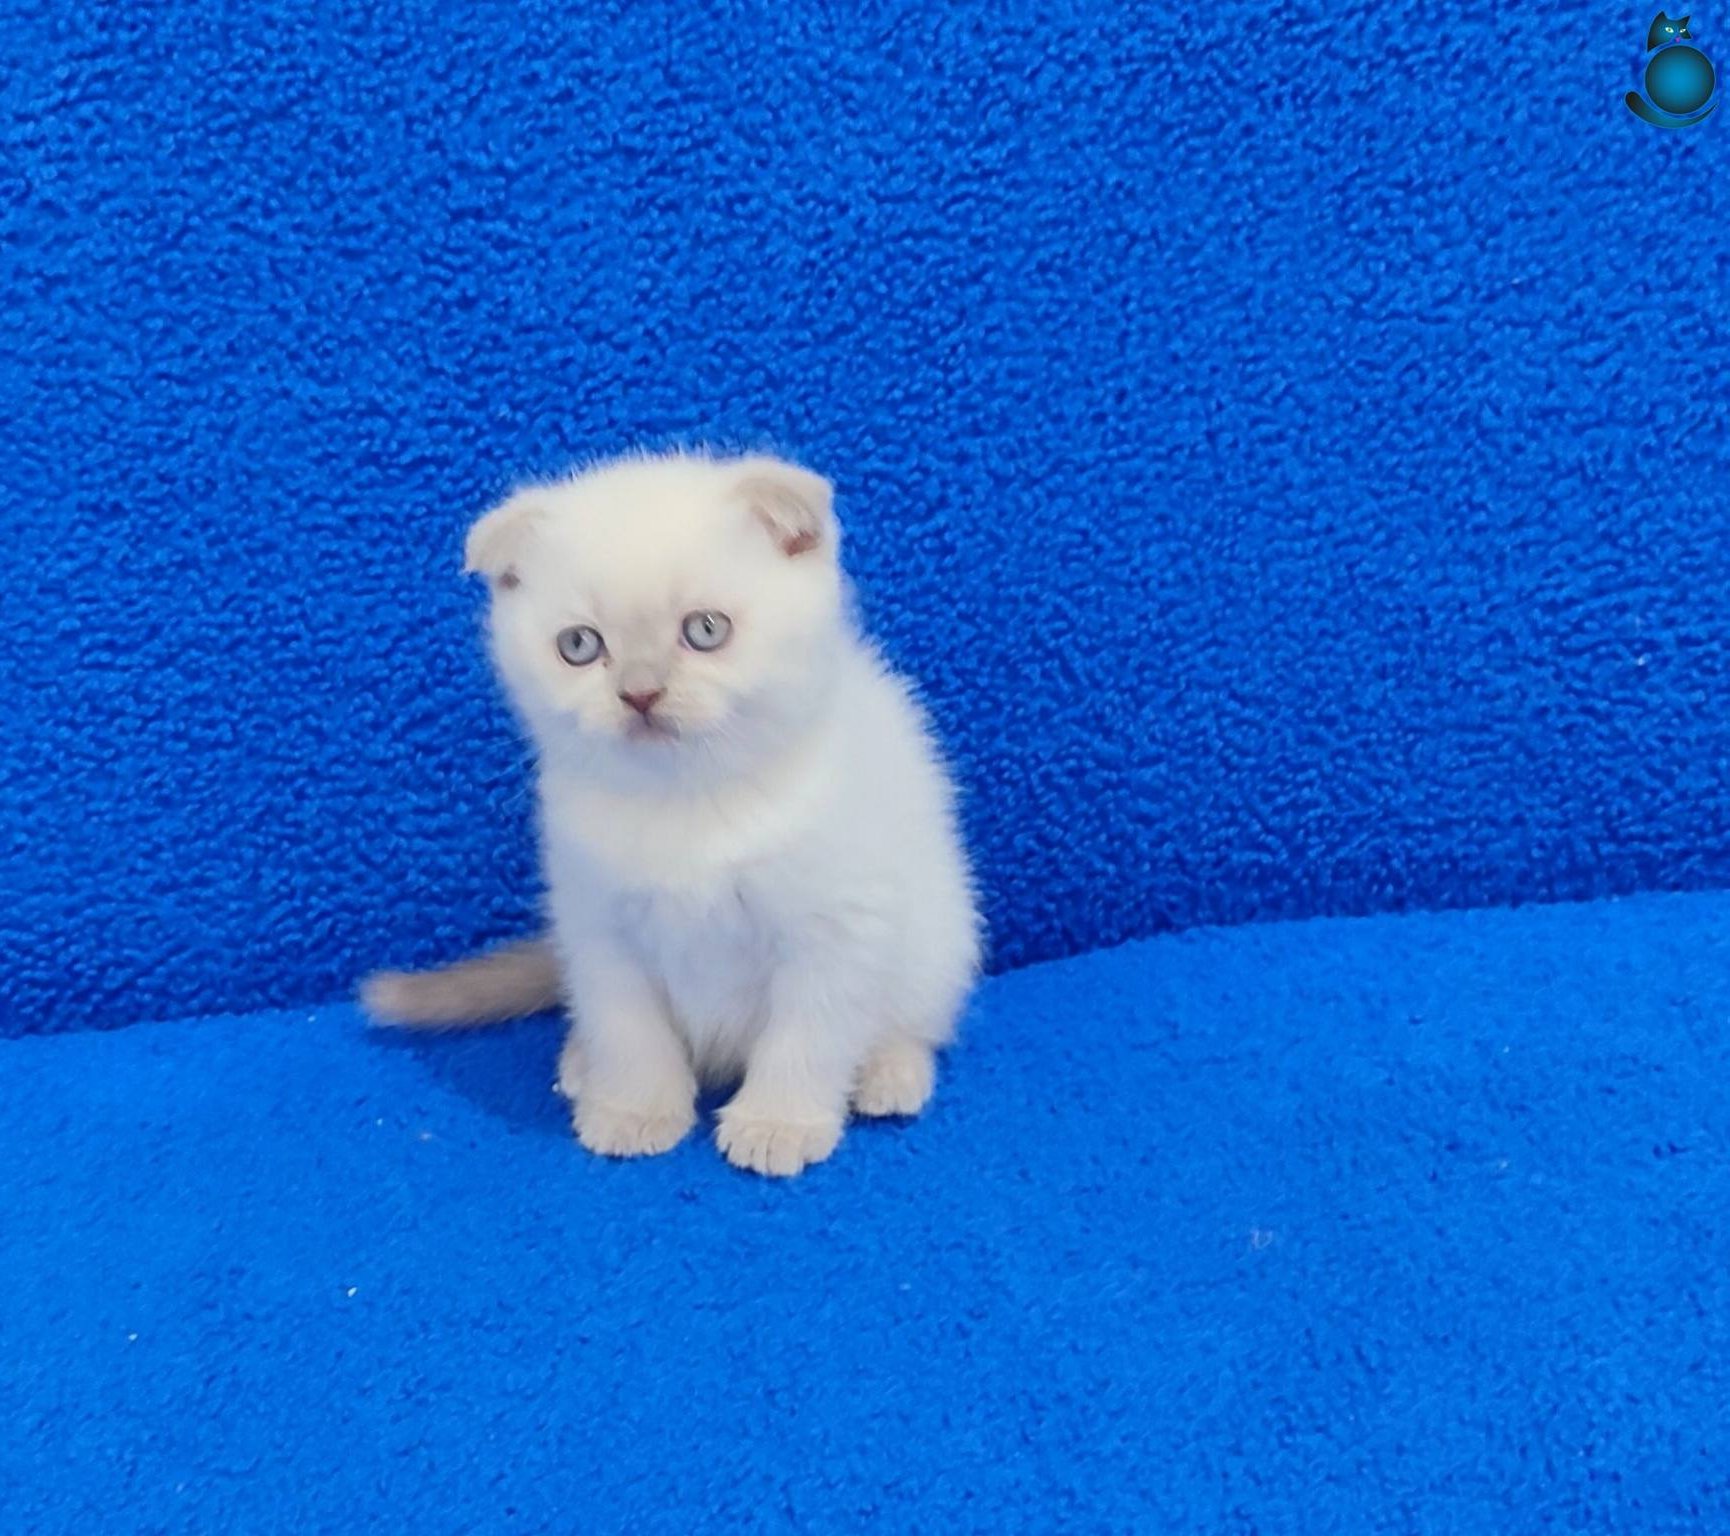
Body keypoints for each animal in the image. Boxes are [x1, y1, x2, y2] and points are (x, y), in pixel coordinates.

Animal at [362, 451, 982, 1177]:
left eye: (705, 630)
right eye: (579, 645)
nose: (640, 693)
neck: (690, 803)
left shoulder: (837, 927)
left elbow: (809, 1032)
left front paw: (779, 1123)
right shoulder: (599, 926)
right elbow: (630, 1030)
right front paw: (635, 1111)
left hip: (941, 933)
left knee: (915, 1017)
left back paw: (888, 1074)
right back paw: (584, 1064)